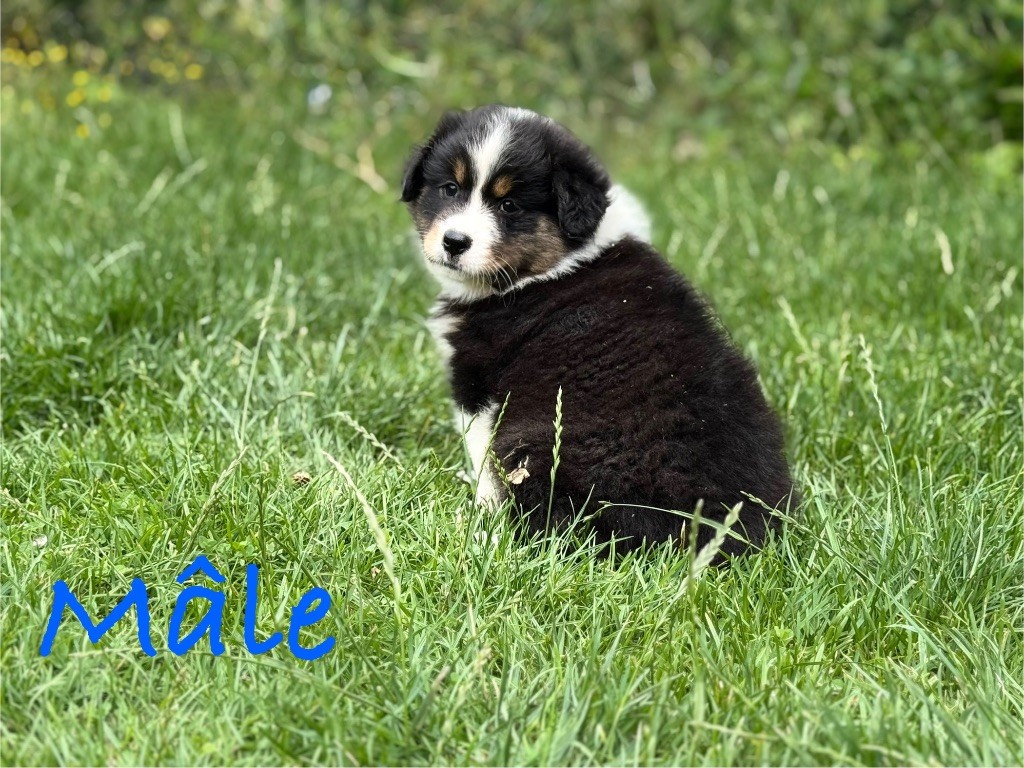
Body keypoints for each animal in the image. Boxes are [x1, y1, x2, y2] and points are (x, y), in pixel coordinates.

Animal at [401, 105, 796, 557]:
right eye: (449, 189)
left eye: (510, 206)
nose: (454, 241)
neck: (555, 265)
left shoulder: (476, 382)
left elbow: (483, 458)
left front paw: (480, 514)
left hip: (537, 442)